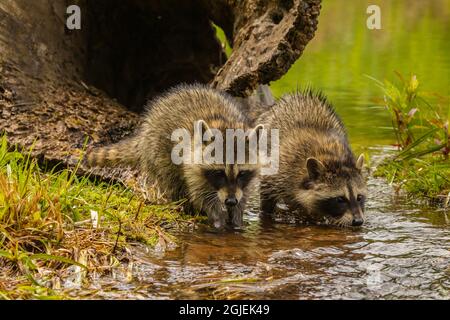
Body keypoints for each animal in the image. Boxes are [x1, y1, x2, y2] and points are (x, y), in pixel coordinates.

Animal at [85, 85, 260, 229]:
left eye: (242, 173)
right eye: (219, 173)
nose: (230, 201)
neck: (225, 125)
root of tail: (144, 134)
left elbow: (243, 194)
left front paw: (237, 218)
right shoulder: (192, 167)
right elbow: (201, 195)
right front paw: (217, 219)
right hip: (158, 152)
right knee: (171, 180)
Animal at [258, 90, 368, 228]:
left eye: (359, 197)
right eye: (340, 199)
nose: (358, 221)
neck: (333, 158)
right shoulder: (280, 169)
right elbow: (267, 196)